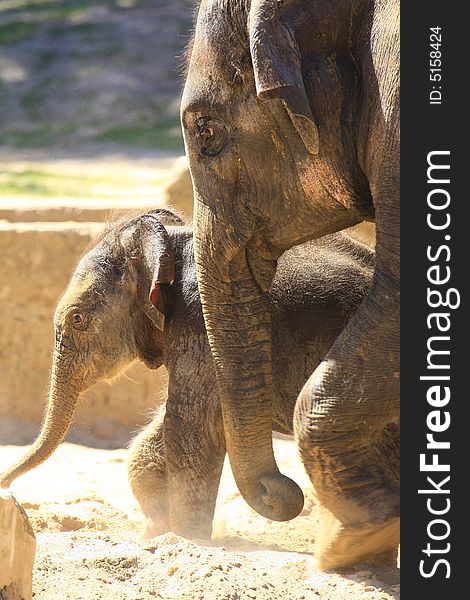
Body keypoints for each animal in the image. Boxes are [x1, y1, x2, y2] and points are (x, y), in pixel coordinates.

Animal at [0, 209, 376, 536]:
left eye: (78, 319)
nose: (6, 485)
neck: (170, 242)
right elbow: (169, 430)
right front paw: (155, 532)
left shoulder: (204, 324)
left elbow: (190, 422)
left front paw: (187, 537)